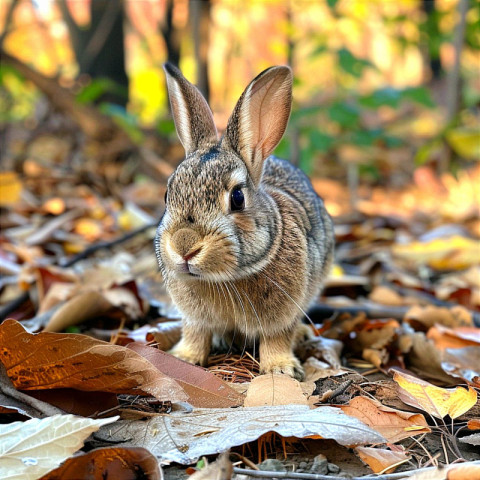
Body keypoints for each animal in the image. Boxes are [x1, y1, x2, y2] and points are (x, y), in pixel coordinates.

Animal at [155, 62, 334, 378]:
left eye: (238, 197)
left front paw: (280, 370)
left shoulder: (282, 314)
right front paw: (184, 358)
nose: (184, 246)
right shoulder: (194, 318)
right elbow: (195, 333)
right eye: (168, 194)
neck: (223, 280)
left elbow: (277, 338)